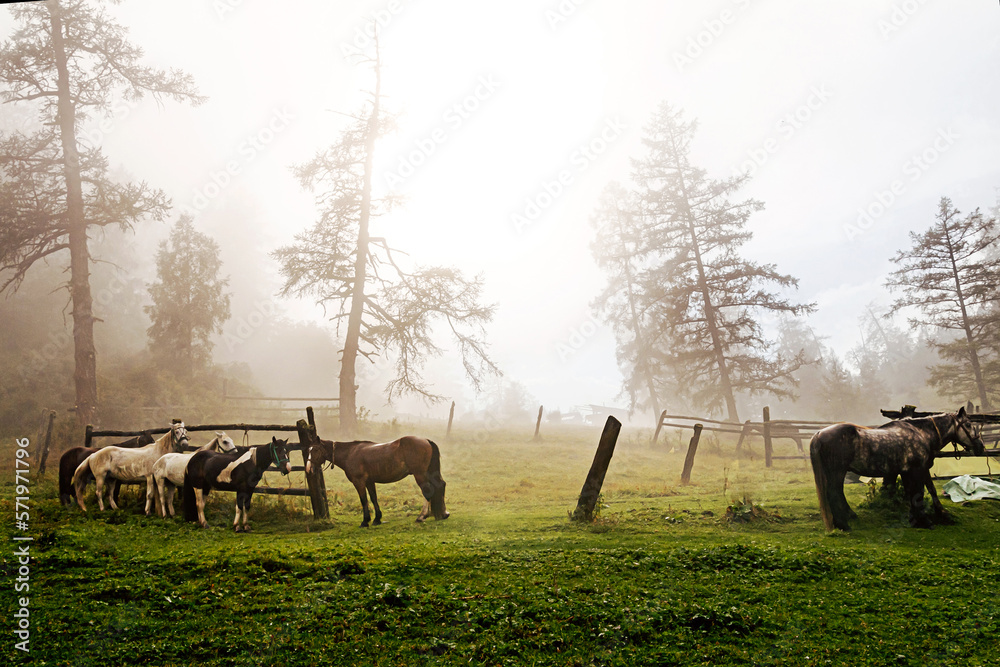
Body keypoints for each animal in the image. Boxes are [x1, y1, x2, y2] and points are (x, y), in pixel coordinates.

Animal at [302, 436, 448, 528]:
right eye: (309, 450)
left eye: (315, 450)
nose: (308, 468)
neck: (350, 453)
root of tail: (425, 440)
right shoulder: (369, 482)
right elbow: (373, 498)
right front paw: (377, 519)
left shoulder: (359, 482)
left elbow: (364, 500)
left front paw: (365, 521)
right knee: (440, 486)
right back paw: (443, 513)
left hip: (420, 474)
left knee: (427, 491)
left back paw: (422, 516)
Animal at [812, 408, 984, 532]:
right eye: (968, 425)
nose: (980, 447)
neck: (921, 433)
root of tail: (819, 434)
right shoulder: (918, 469)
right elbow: (920, 492)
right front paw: (926, 520)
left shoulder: (909, 471)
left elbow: (918, 492)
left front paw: (919, 518)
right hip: (837, 472)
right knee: (833, 493)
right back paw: (843, 525)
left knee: (838, 493)